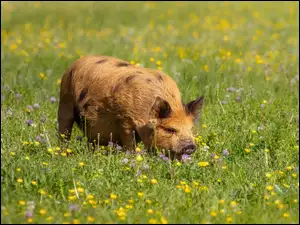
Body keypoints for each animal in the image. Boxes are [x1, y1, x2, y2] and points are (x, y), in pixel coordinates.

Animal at [58, 55, 204, 158]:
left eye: (191, 129)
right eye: (170, 129)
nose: (190, 146)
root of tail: (73, 64)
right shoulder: (124, 120)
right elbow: (130, 142)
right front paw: (132, 158)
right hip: (65, 102)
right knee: (64, 131)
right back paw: (63, 154)